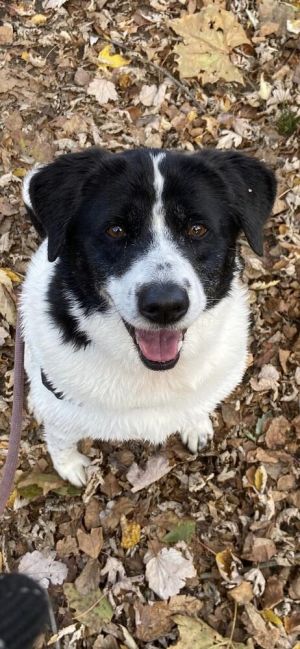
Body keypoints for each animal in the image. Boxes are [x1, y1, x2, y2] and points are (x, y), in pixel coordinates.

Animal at [19, 146, 276, 480]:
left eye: (197, 229)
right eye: (115, 230)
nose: (165, 305)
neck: (153, 375)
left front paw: (195, 425)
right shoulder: (61, 409)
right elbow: (61, 438)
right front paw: (70, 466)